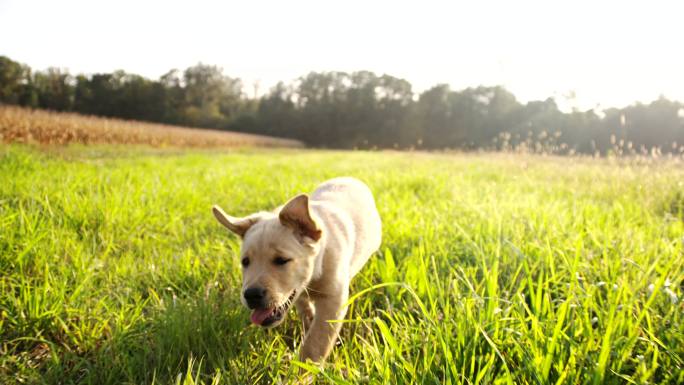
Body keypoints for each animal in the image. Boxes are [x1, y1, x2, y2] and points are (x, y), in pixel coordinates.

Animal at [212, 178, 382, 364]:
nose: (251, 295)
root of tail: (349, 178)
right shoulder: (298, 293)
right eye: (245, 262)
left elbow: (315, 342)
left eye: (281, 260)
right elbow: (305, 313)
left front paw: (305, 368)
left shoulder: (333, 301)